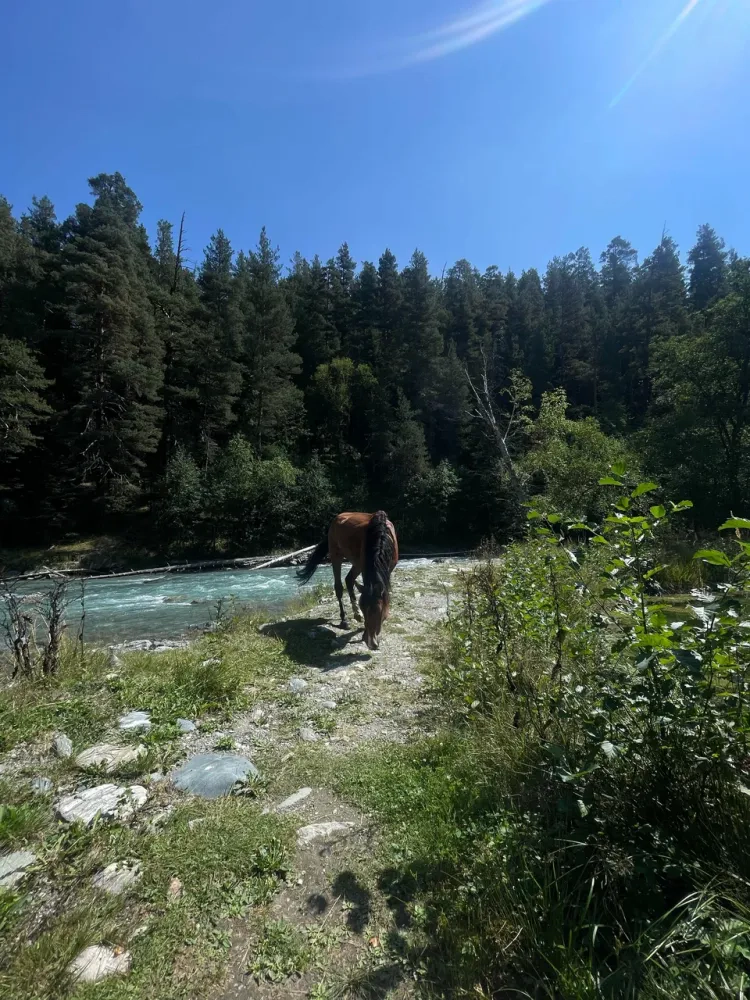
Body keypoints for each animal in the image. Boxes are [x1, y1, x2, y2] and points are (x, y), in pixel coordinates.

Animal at [297, 511, 399, 651]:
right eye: (364, 608)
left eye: (378, 611)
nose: (371, 642)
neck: (382, 535)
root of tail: (338, 517)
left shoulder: (388, 569)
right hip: (336, 555)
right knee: (339, 587)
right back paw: (344, 620)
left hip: (357, 564)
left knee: (349, 580)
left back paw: (356, 614)